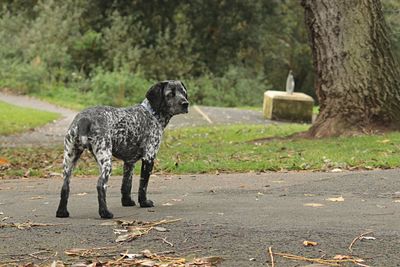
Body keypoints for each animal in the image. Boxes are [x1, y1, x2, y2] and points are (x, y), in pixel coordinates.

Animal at [55, 80, 191, 219]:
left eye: (183, 92)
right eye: (170, 94)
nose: (185, 104)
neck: (151, 113)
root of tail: (84, 119)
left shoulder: (129, 163)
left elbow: (126, 185)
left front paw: (127, 202)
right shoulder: (149, 157)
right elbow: (143, 186)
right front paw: (144, 203)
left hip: (69, 160)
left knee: (65, 186)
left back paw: (62, 212)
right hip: (106, 161)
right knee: (100, 185)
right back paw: (105, 213)